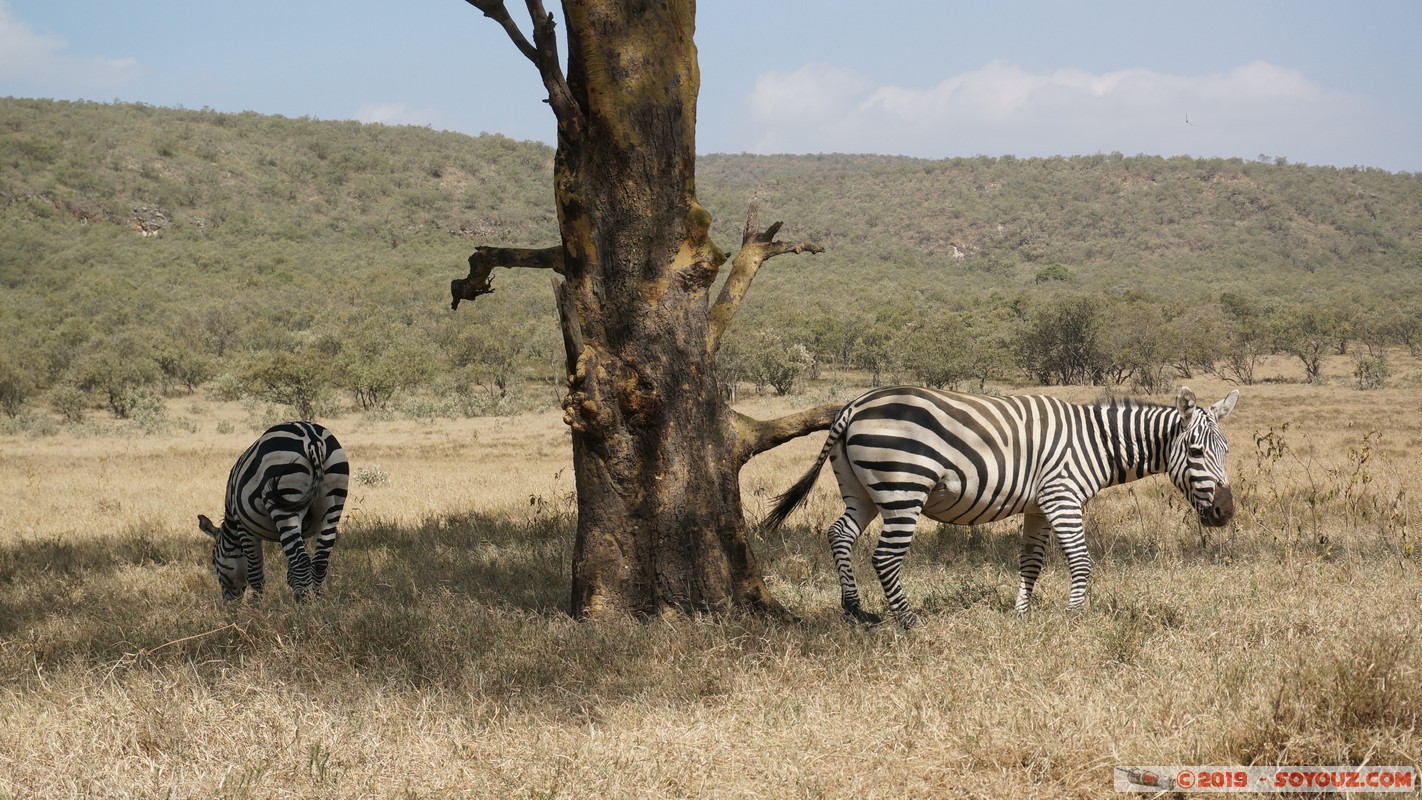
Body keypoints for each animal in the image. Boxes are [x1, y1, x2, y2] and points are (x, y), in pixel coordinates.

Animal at [197, 423, 349, 605]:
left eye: (214, 562)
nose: (228, 605)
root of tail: (312, 438)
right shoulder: (303, 530)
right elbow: (291, 573)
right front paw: (296, 595)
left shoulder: (244, 528)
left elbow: (255, 574)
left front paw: (256, 606)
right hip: (332, 507)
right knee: (319, 561)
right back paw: (318, 602)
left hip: (284, 505)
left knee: (302, 561)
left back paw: (306, 606)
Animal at [762, 386, 1239, 625]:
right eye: (1196, 452)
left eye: (1227, 450)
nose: (1226, 512)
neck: (1096, 443)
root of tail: (854, 405)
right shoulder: (1062, 496)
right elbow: (1081, 561)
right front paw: (1075, 619)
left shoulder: (1038, 505)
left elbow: (1031, 562)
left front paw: (1022, 616)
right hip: (903, 486)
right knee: (885, 556)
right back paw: (909, 622)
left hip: (860, 489)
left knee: (839, 533)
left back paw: (855, 609)